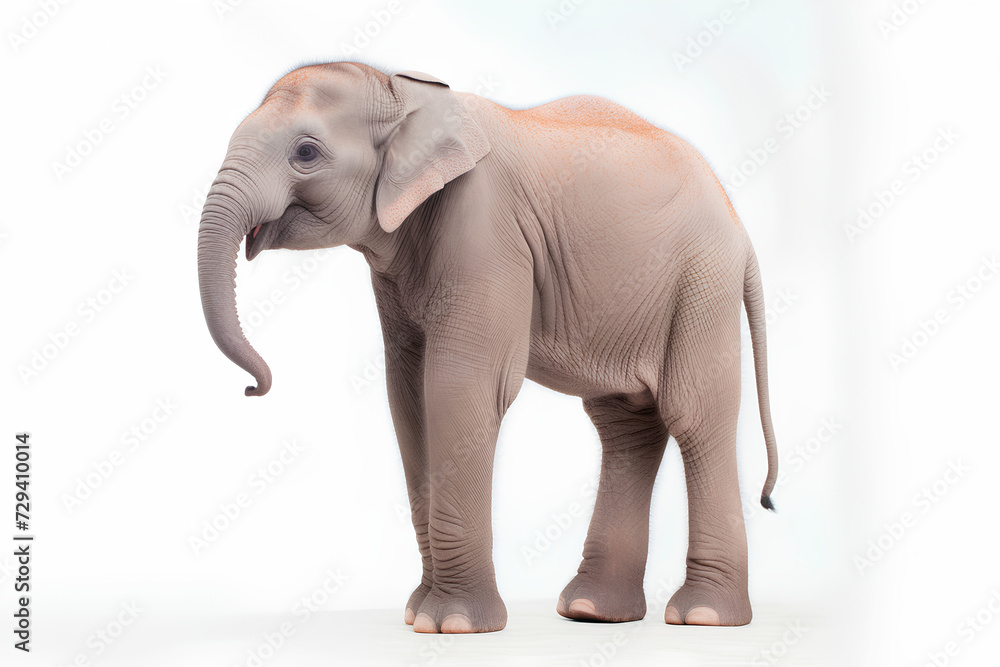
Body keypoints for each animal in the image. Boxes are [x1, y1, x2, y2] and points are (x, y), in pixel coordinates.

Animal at [197, 61, 779, 634]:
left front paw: (453, 623)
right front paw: (418, 615)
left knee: (693, 415)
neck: (403, 90)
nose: (253, 388)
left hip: (701, 281)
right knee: (625, 424)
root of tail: (740, 226)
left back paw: (702, 616)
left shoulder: (485, 230)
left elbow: (459, 387)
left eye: (306, 153)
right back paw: (592, 611)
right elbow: (408, 396)